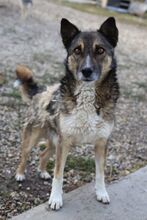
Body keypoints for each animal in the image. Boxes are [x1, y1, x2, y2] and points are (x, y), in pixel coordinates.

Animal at [14, 16, 119, 210]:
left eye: (100, 50)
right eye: (77, 50)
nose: (86, 71)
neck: (87, 96)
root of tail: (41, 91)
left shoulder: (101, 143)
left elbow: (100, 173)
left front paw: (101, 193)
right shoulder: (64, 143)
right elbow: (59, 174)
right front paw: (55, 199)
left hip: (55, 140)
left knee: (43, 154)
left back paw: (42, 172)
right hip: (33, 137)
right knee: (25, 154)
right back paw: (20, 174)